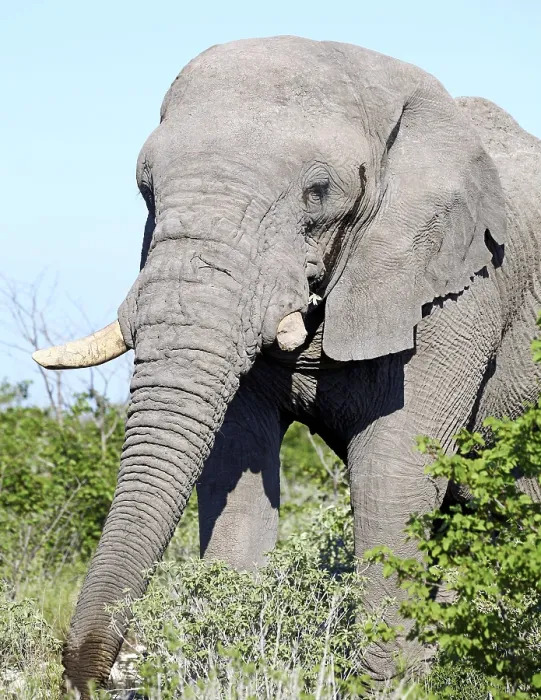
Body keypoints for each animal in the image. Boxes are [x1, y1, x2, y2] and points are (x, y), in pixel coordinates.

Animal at [33, 36, 541, 696]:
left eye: (317, 192)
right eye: (145, 188)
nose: (97, 676)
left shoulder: (461, 287)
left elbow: (394, 466)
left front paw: (386, 684)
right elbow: (236, 463)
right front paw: (230, 665)